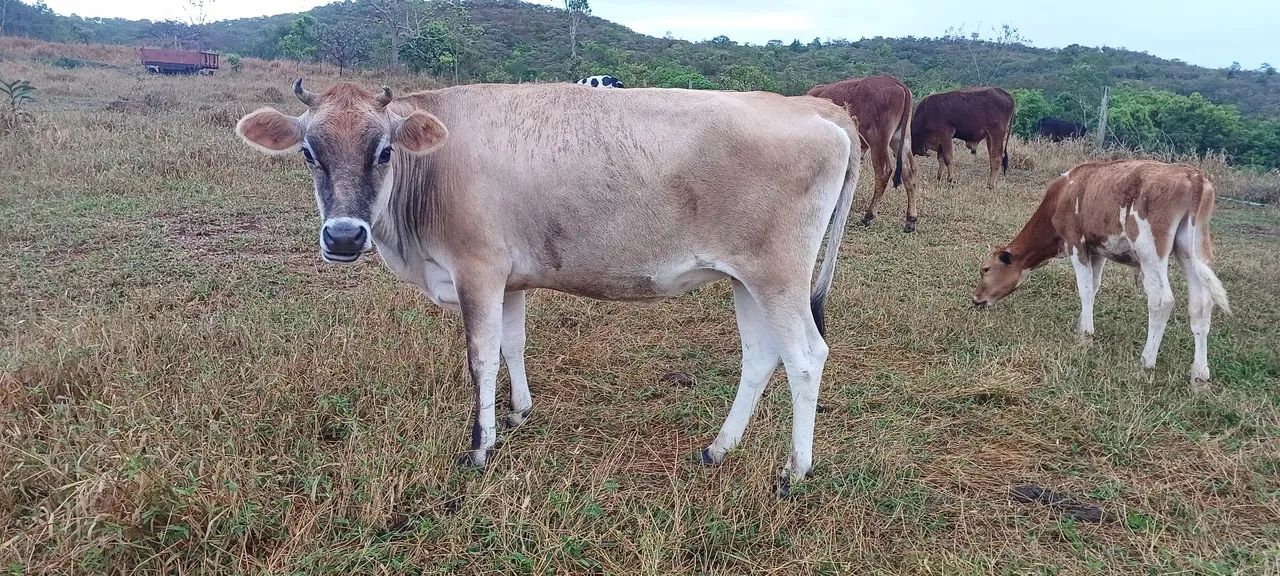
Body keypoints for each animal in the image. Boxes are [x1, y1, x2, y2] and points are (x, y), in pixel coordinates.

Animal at [234, 80, 862, 494]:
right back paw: (718, 448)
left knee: (806, 356)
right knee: (760, 356)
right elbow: (512, 343)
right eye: (309, 152)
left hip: (778, 276)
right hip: (746, 279)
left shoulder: (478, 270)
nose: (343, 235)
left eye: (384, 150)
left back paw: (794, 471)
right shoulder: (509, 279)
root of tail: (819, 111)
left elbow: (481, 356)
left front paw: (480, 446)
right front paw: (518, 414)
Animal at [808, 76, 920, 232]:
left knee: (884, 171)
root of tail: (897, 83)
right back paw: (911, 219)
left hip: (878, 140)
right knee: (909, 171)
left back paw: (869, 215)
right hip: (901, 140)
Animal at [972, 160, 1230, 389]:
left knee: (1161, 300)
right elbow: (1094, 286)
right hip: (1192, 250)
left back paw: (1147, 360)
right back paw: (1199, 375)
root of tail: (1193, 176)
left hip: (1150, 248)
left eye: (985, 269)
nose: (976, 299)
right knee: (1201, 305)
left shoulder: (1075, 241)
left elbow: (1085, 288)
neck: (1062, 195)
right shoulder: (1097, 250)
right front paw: (1081, 325)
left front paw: (1086, 336)